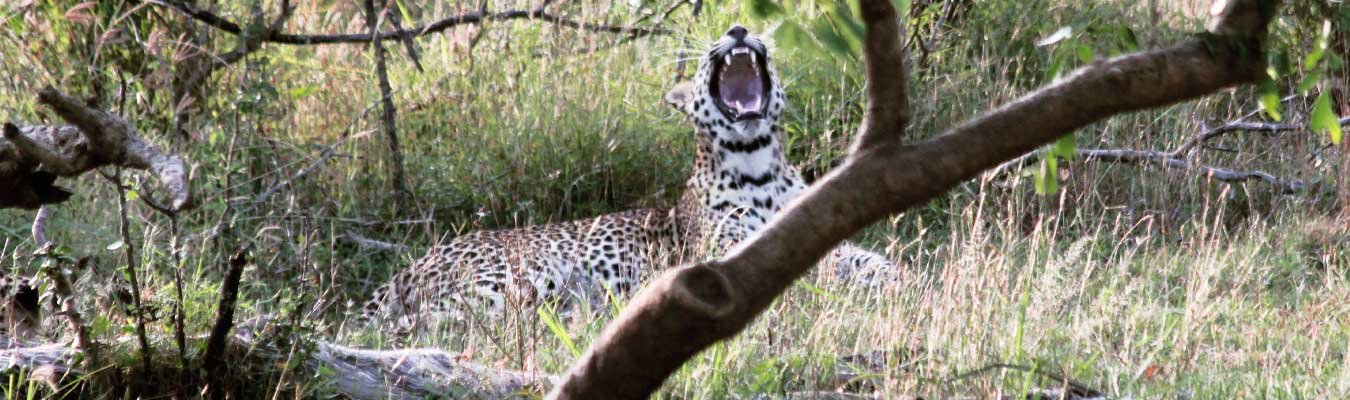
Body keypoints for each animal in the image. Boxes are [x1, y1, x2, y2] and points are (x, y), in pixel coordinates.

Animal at [361, 24, 896, 328]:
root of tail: (409, 267)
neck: (759, 164)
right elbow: (807, 271)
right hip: (513, 275)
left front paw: (895, 277)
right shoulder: (726, 254)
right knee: (433, 322)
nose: (740, 28)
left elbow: (866, 259)